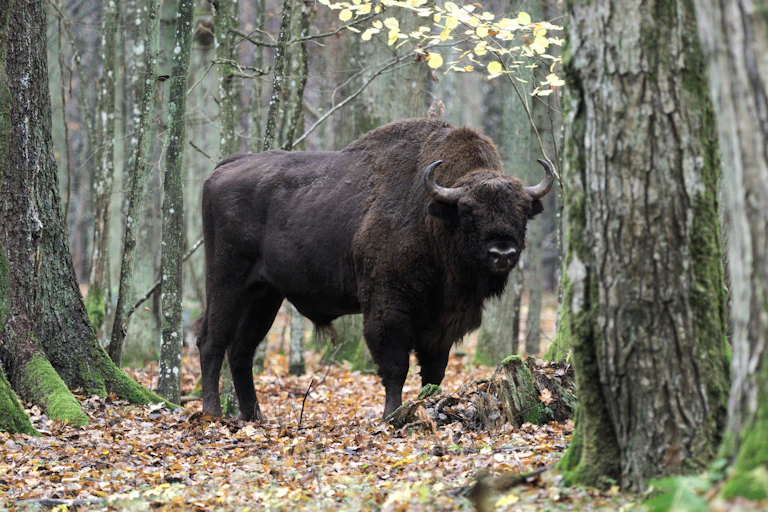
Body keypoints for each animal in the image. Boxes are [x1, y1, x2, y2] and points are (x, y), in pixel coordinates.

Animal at [198, 118, 554, 420]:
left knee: (241, 349)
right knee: (211, 340)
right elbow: (395, 366)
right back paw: (213, 414)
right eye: (468, 211)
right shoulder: (388, 306)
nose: (502, 253)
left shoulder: (441, 322)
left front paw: (428, 405)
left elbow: (433, 371)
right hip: (227, 282)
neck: (432, 216)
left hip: (265, 294)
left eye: (523, 210)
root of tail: (223, 168)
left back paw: (252, 416)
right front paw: (391, 416)